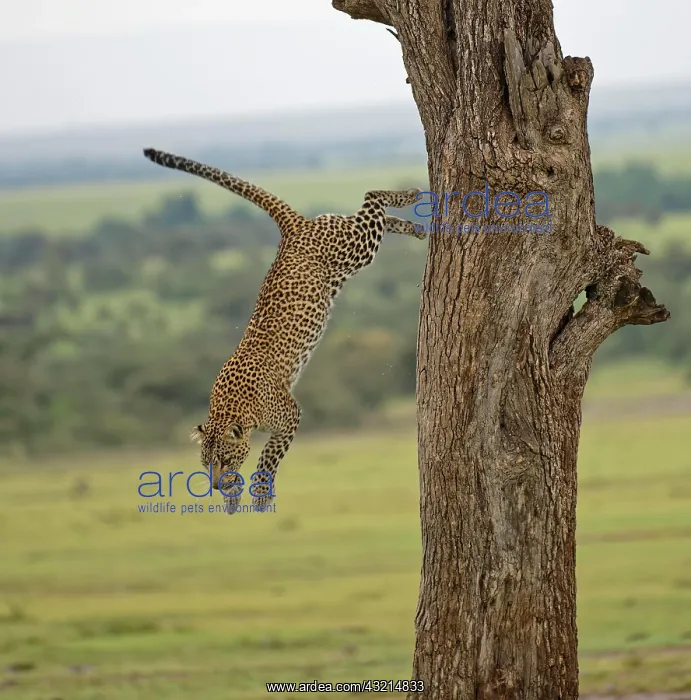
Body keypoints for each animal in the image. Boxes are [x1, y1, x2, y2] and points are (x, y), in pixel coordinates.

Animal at [143, 147, 425, 514]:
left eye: (225, 460)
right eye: (205, 463)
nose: (216, 484)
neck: (234, 409)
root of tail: (294, 228)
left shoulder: (291, 415)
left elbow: (269, 455)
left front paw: (261, 494)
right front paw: (233, 498)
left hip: (356, 246)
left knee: (371, 199)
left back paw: (410, 196)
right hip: (351, 251)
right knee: (370, 215)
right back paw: (415, 226)